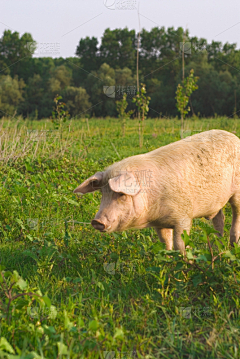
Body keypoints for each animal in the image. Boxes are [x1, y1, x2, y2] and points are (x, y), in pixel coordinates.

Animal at [73, 130, 240, 253]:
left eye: (121, 194)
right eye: (103, 194)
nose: (96, 221)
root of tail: (235, 137)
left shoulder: (183, 216)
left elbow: (180, 244)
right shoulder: (160, 224)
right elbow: (166, 244)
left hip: (237, 193)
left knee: (235, 216)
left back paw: (233, 246)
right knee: (219, 219)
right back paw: (218, 249)